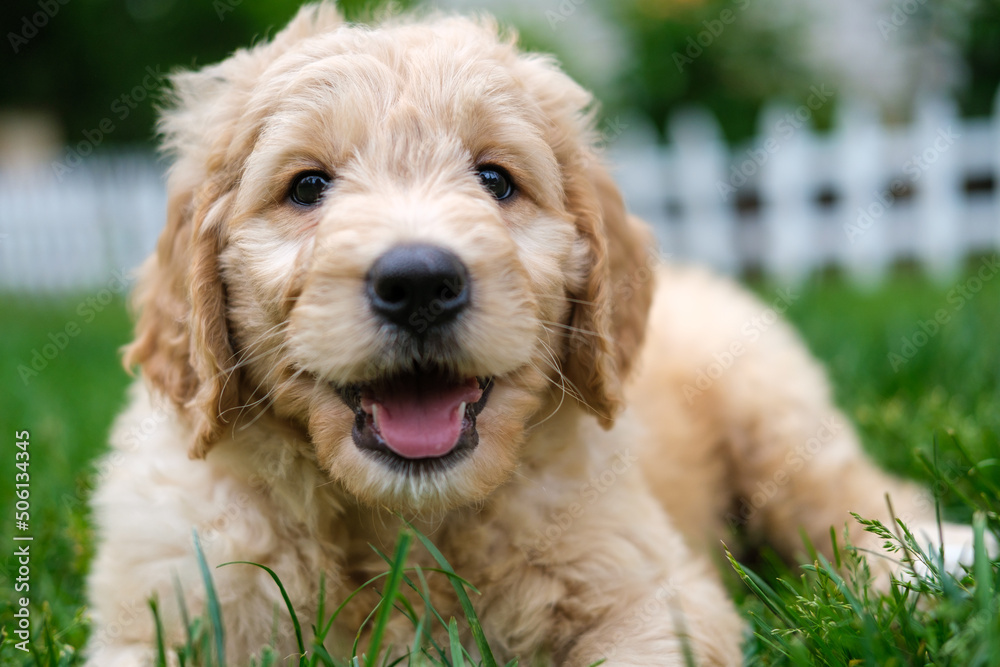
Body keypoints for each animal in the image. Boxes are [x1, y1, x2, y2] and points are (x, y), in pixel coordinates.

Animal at [84, 5, 968, 667]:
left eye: (494, 179)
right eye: (306, 187)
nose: (419, 282)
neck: (402, 521)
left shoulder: (653, 591)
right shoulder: (162, 608)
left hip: (772, 407)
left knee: (841, 493)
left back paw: (938, 558)